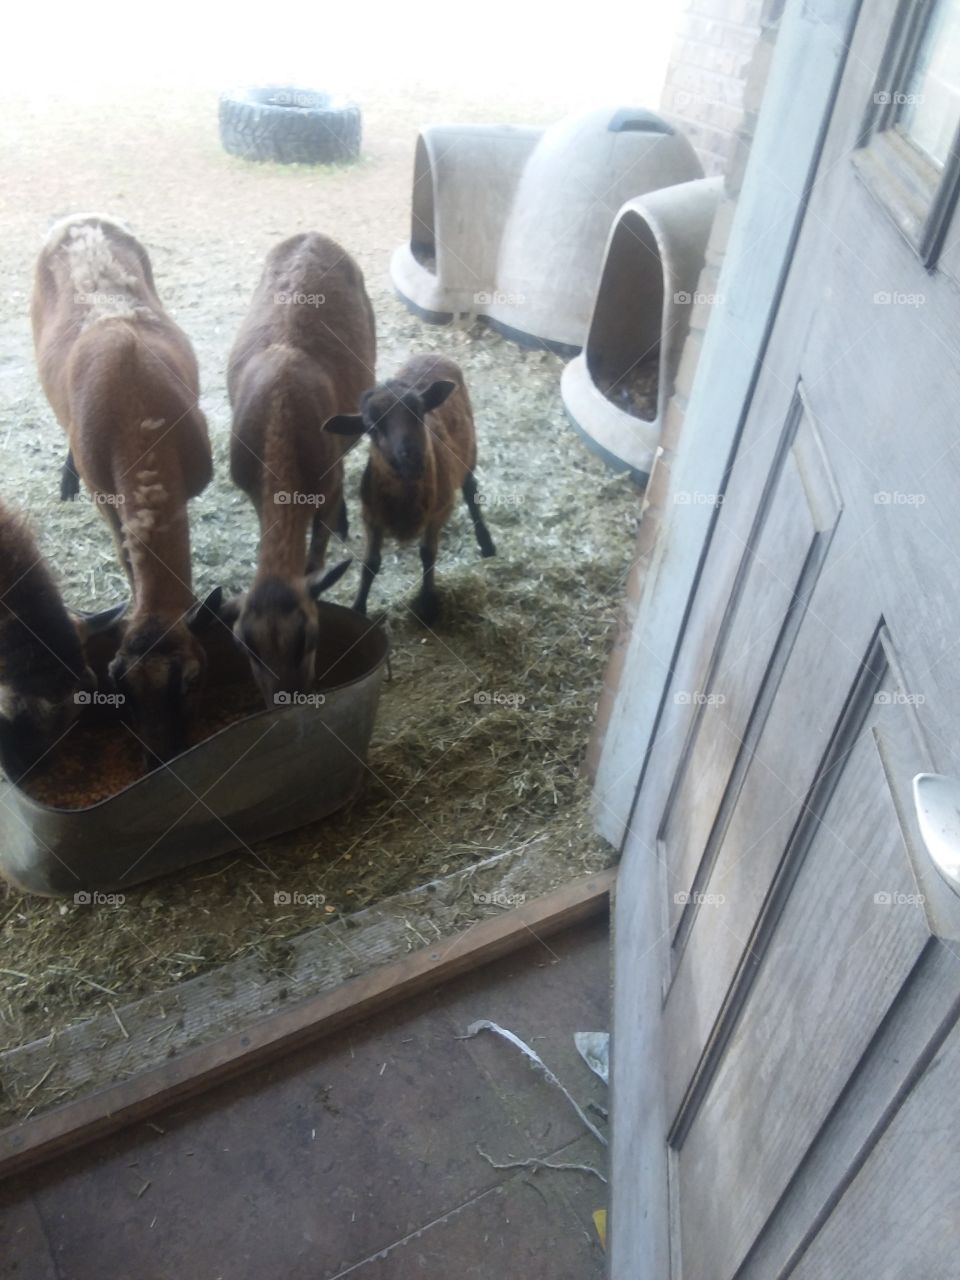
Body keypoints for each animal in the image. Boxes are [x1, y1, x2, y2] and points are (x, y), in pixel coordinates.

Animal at [31, 213, 219, 763]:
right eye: (119, 687)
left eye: (192, 681)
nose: (161, 760)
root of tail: (78, 218)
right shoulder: (109, 503)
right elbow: (127, 563)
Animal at [226, 232, 376, 705]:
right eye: (244, 647)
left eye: (309, 637)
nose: (286, 701)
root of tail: (313, 236)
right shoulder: (253, 491)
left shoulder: (326, 485)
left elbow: (315, 558)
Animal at [323, 353, 496, 622]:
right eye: (371, 427)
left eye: (420, 411)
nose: (413, 459)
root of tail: (432, 355)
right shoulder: (371, 517)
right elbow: (370, 563)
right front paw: (358, 608)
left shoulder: (439, 513)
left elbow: (427, 553)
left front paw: (428, 604)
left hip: (469, 453)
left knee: (470, 490)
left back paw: (486, 543)